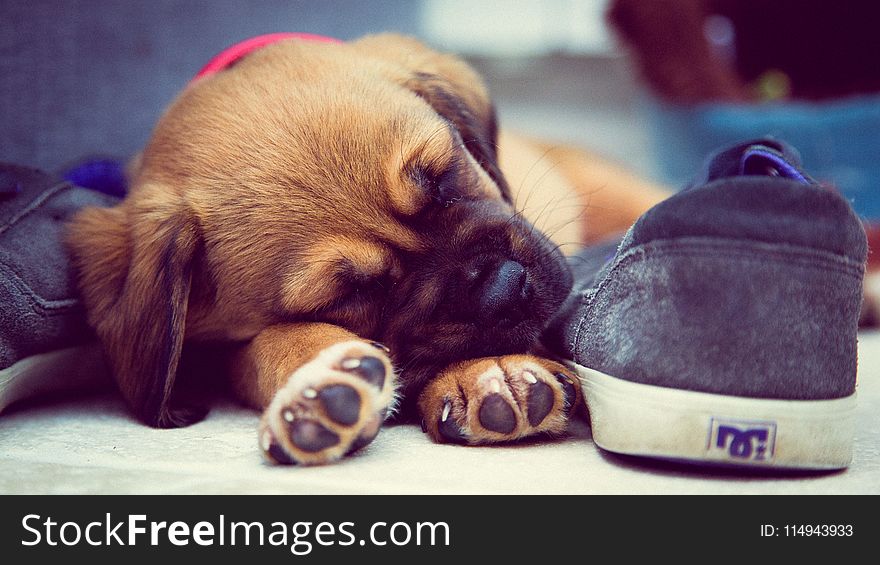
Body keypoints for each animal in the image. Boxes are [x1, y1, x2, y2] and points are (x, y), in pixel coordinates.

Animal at [65, 33, 668, 462]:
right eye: (351, 293)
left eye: (444, 180)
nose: (503, 287)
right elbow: (275, 344)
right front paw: (320, 387)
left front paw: (490, 369)